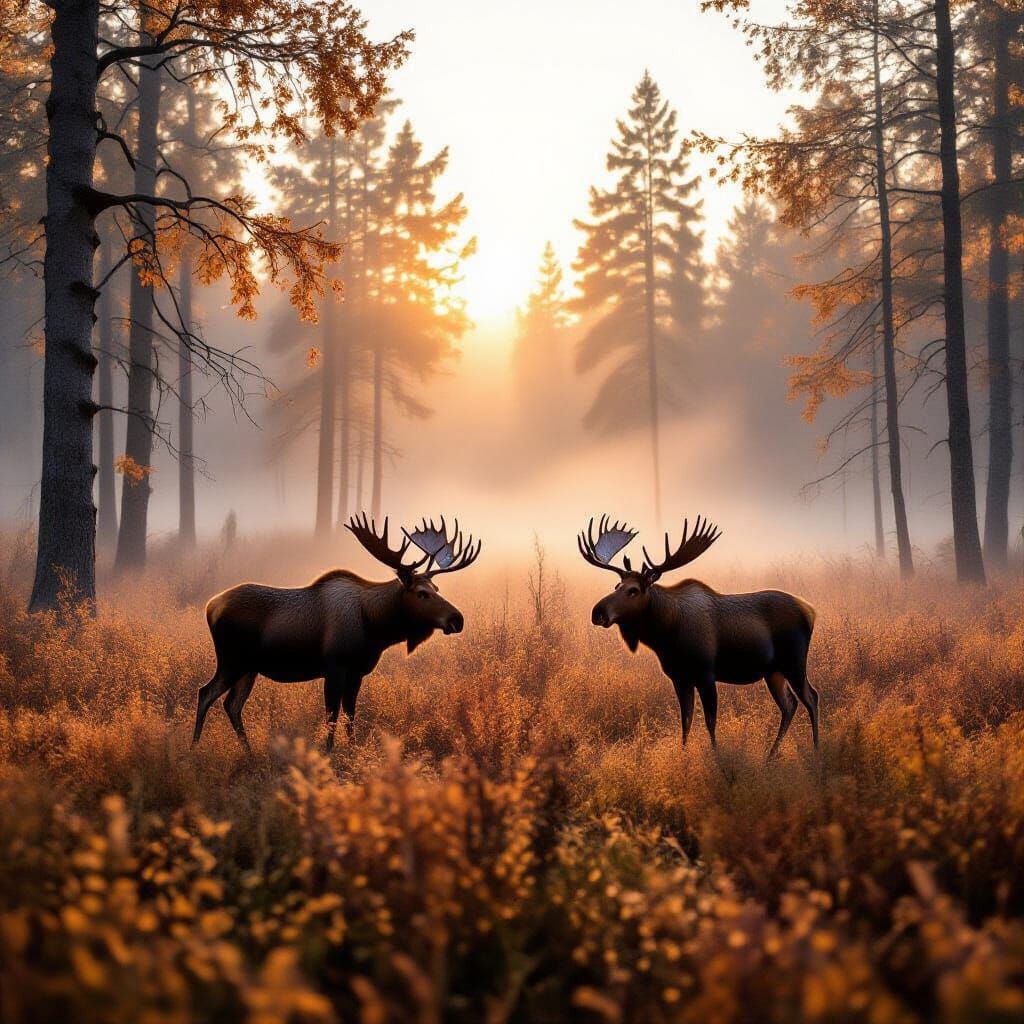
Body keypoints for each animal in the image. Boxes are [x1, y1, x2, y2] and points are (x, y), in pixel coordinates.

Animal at [192, 514, 481, 753]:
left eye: (437, 588)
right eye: (422, 593)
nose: (457, 619)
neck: (376, 627)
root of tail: (210, 606)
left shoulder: (357, 671)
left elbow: (350, 714)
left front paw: (352, 750)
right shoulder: (334, 665)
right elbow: (331, 714)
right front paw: (328, 752)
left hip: (249, 668)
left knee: (232, 704)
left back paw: (249, 753)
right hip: (231, 660)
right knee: (206, 693)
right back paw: (194, 748)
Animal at [578, 515, 818, 756]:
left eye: (633, 590)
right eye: (616, 585)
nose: (597, 612)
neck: (666, 635)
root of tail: (810, 611)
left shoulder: (706, 674)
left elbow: (710, 722)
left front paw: (716, 757)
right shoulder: (679, 678)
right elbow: (686, 722)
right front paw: (684, 756)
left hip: (794, 662)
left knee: (811, 697)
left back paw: (816, 749)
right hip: (773, 671)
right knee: (789, 704)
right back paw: (770, 756)